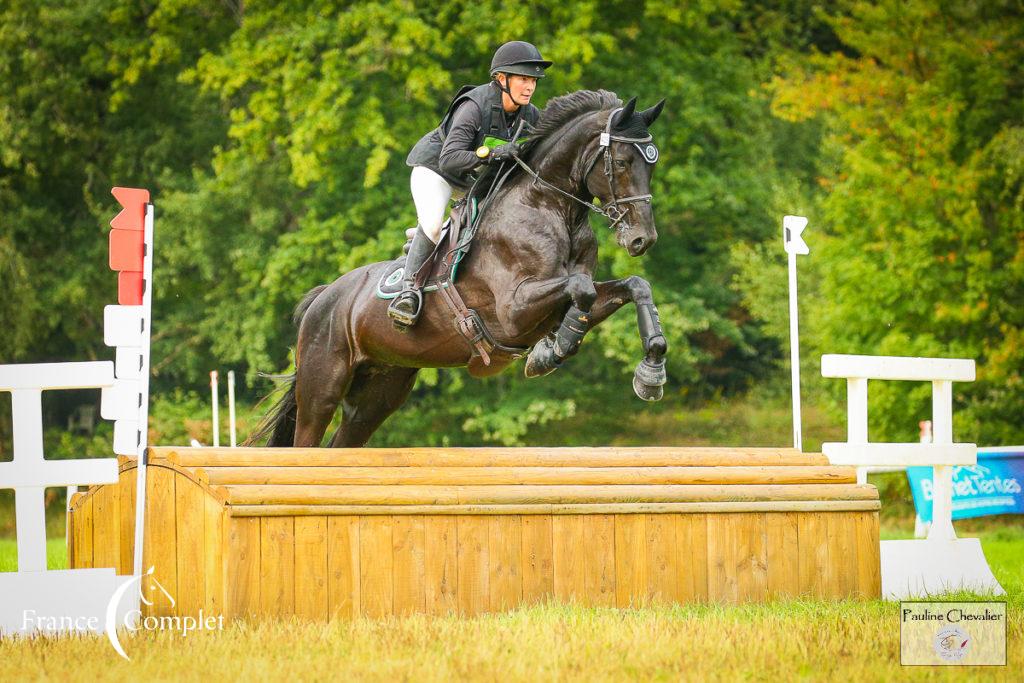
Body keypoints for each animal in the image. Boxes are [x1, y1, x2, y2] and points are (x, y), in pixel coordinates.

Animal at [243, 89, 667, 448]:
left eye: (652, 165)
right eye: (622, 162)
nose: (642, 240)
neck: (549, 206)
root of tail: (322, 299)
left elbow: (631, 285)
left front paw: (650, 371)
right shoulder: (513, 309)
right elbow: (582, 288)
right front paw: (552, 351)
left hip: (380, 392)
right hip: (322, 387)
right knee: (306, 439)